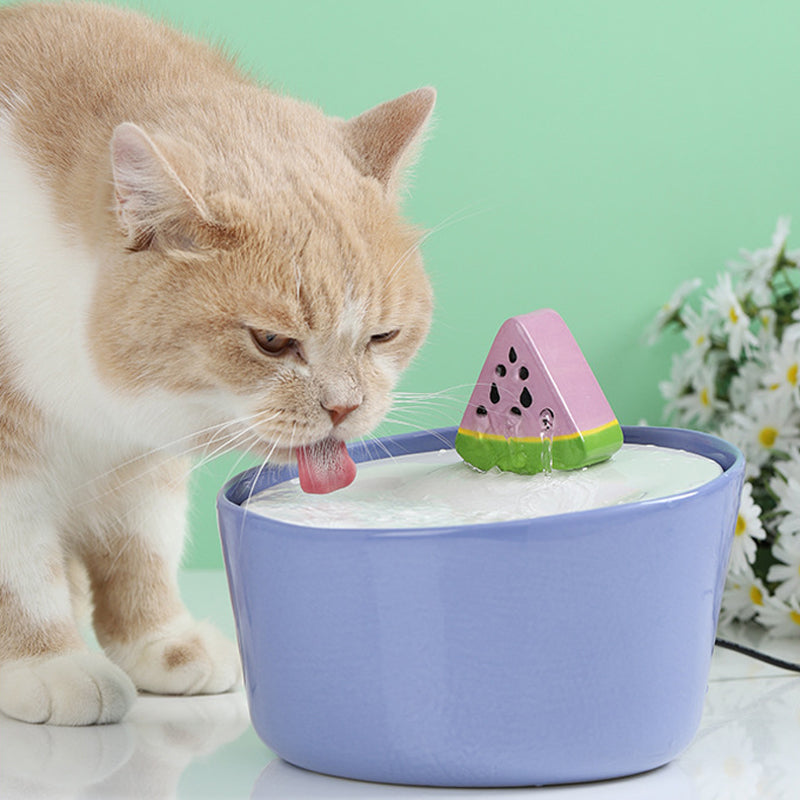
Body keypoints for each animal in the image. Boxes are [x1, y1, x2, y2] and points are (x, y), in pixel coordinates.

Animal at [0, 0, 434, 724]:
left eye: (383, 336)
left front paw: (161, 644)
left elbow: (140, 544)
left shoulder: (139, 457)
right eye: (271, 343)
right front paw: (48, 662)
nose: (345, 407)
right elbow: (21, 569)